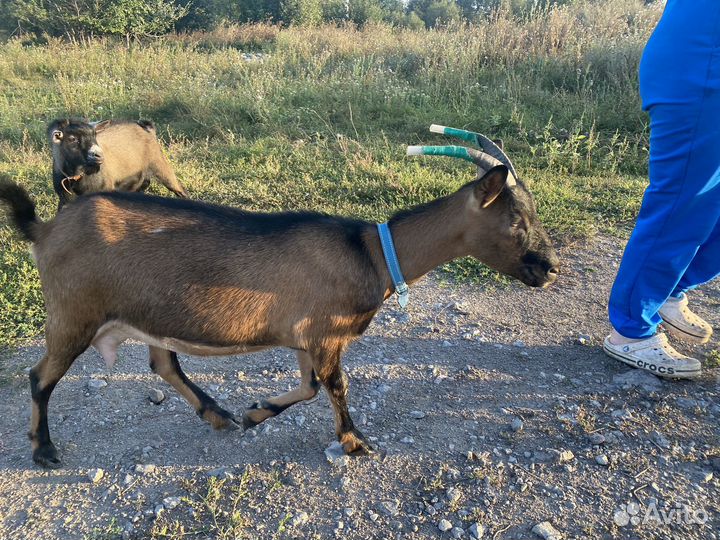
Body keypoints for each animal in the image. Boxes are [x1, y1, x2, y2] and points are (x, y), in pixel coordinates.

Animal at [49, 118, 189, 210]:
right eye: (72, 138)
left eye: (94, 135)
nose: (99, 155)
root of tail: (146, 127)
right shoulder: (65, 199)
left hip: (160, 164)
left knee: (180, 190)